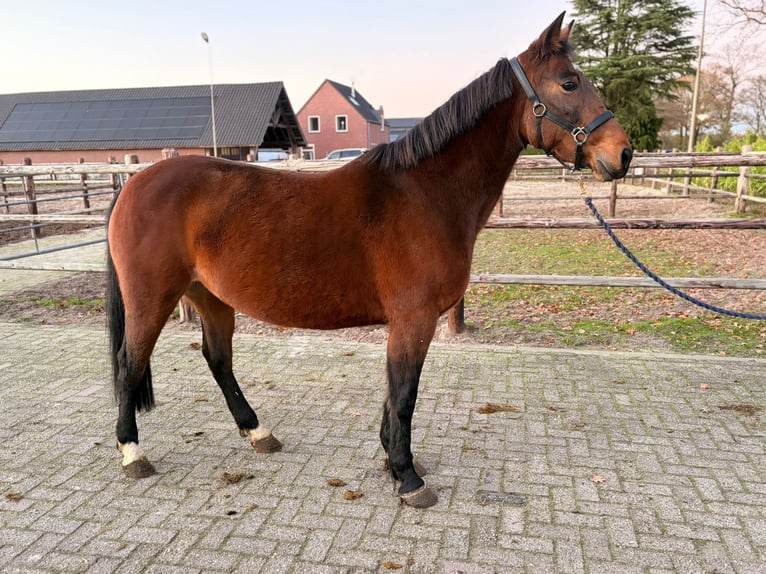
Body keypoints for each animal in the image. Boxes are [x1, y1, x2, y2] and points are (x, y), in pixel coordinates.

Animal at [106, 12, 632, 508]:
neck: (425, 193)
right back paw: (133, 453)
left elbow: (392, 395)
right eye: (569, 82)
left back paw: (258, 433)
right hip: (152, 298)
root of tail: (134, 183)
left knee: (218, 360)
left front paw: (391, 460)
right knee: (130, 362)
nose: (623, 154)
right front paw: (408, 476)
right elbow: (404, 397)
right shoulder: (414, 319)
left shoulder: (406, 322)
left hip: (210, 296)